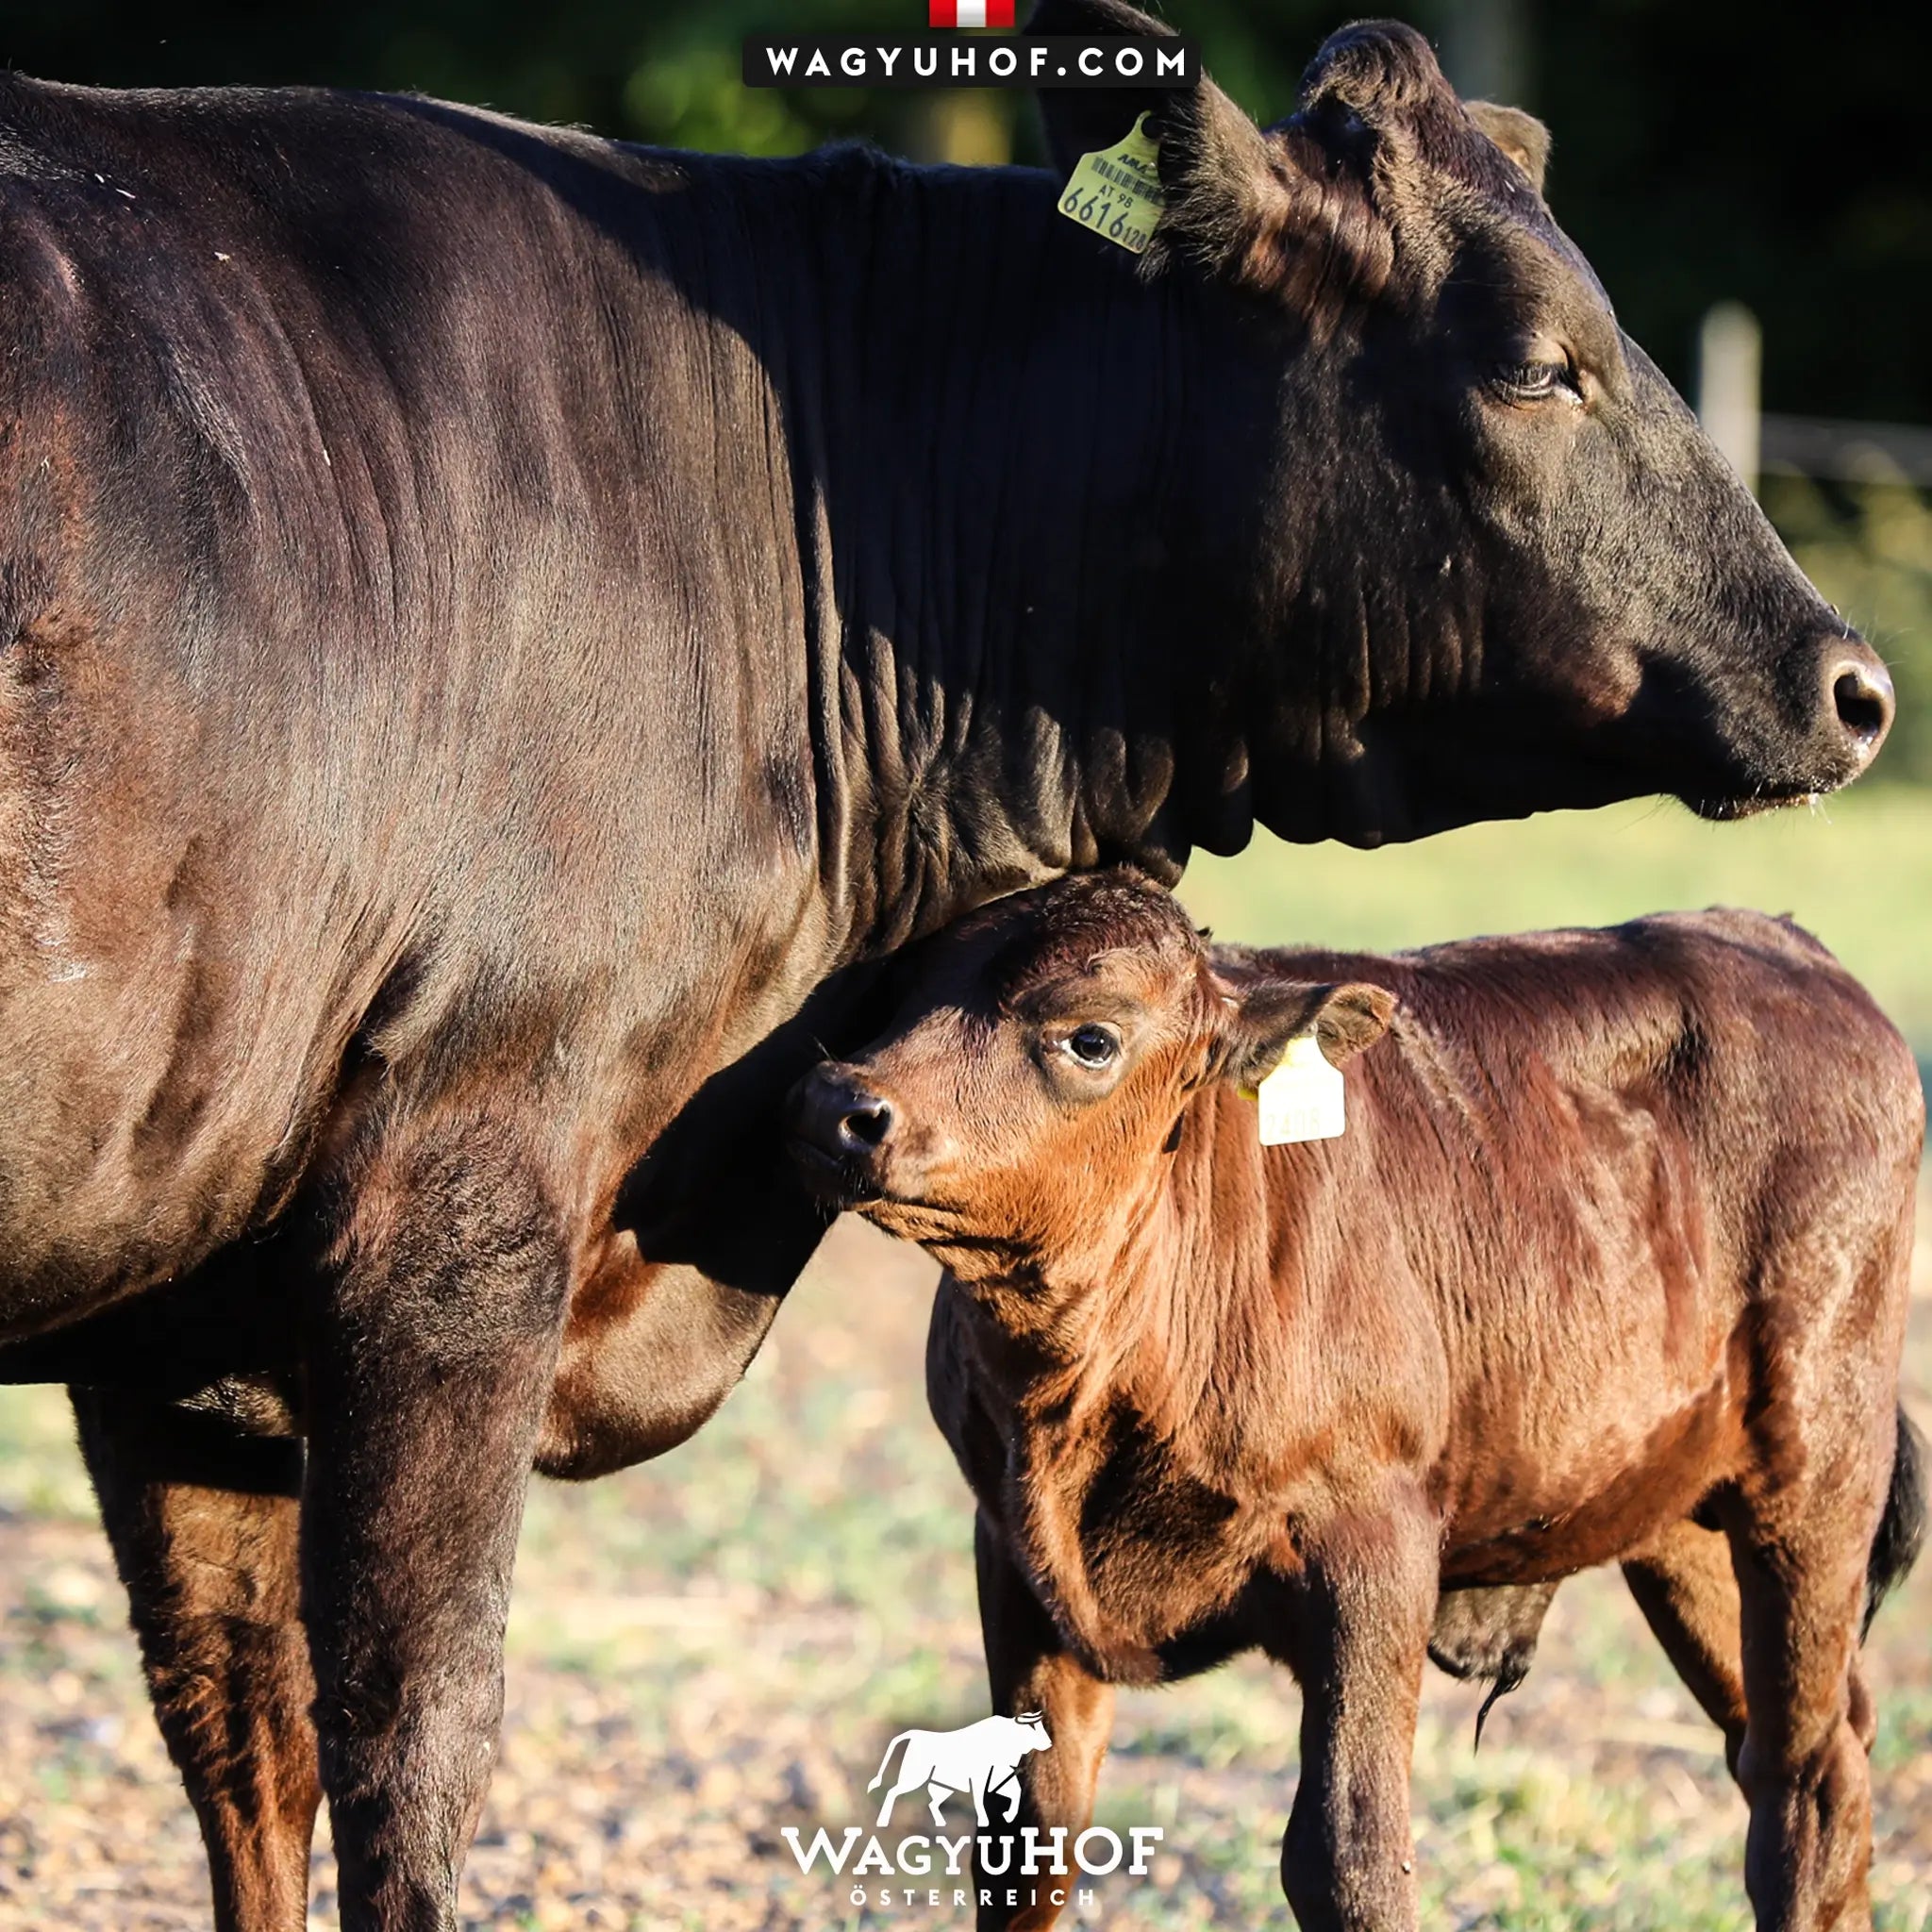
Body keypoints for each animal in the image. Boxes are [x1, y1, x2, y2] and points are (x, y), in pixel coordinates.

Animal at [791, 873, 1924, 1932]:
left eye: (1090, 1037)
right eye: (893, 997)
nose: (841, 1102)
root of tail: (1779, 944)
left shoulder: (1374, 1553)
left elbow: (1346, 1854)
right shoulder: (1016, 1559)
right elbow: (1029, 1842)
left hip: (1816, 1468)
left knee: (1803, 1774)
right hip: (1677, 1519)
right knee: (1803, 1740)